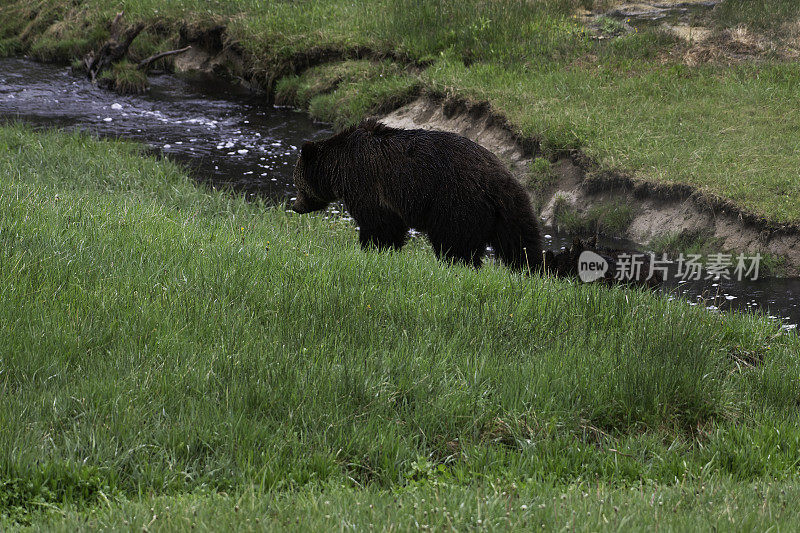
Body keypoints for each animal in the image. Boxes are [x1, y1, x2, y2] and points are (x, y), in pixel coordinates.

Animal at [292, 120, 544, 270]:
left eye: (297, 184)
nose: (296, 207)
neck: (339, 167)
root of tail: (498, 179)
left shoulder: (367, 183)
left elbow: (379, 223)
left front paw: (372, 247)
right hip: (511, 208)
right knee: (521, 242)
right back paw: (533, 268)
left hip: (457, 202)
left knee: (455, 244)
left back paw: (456, 264)